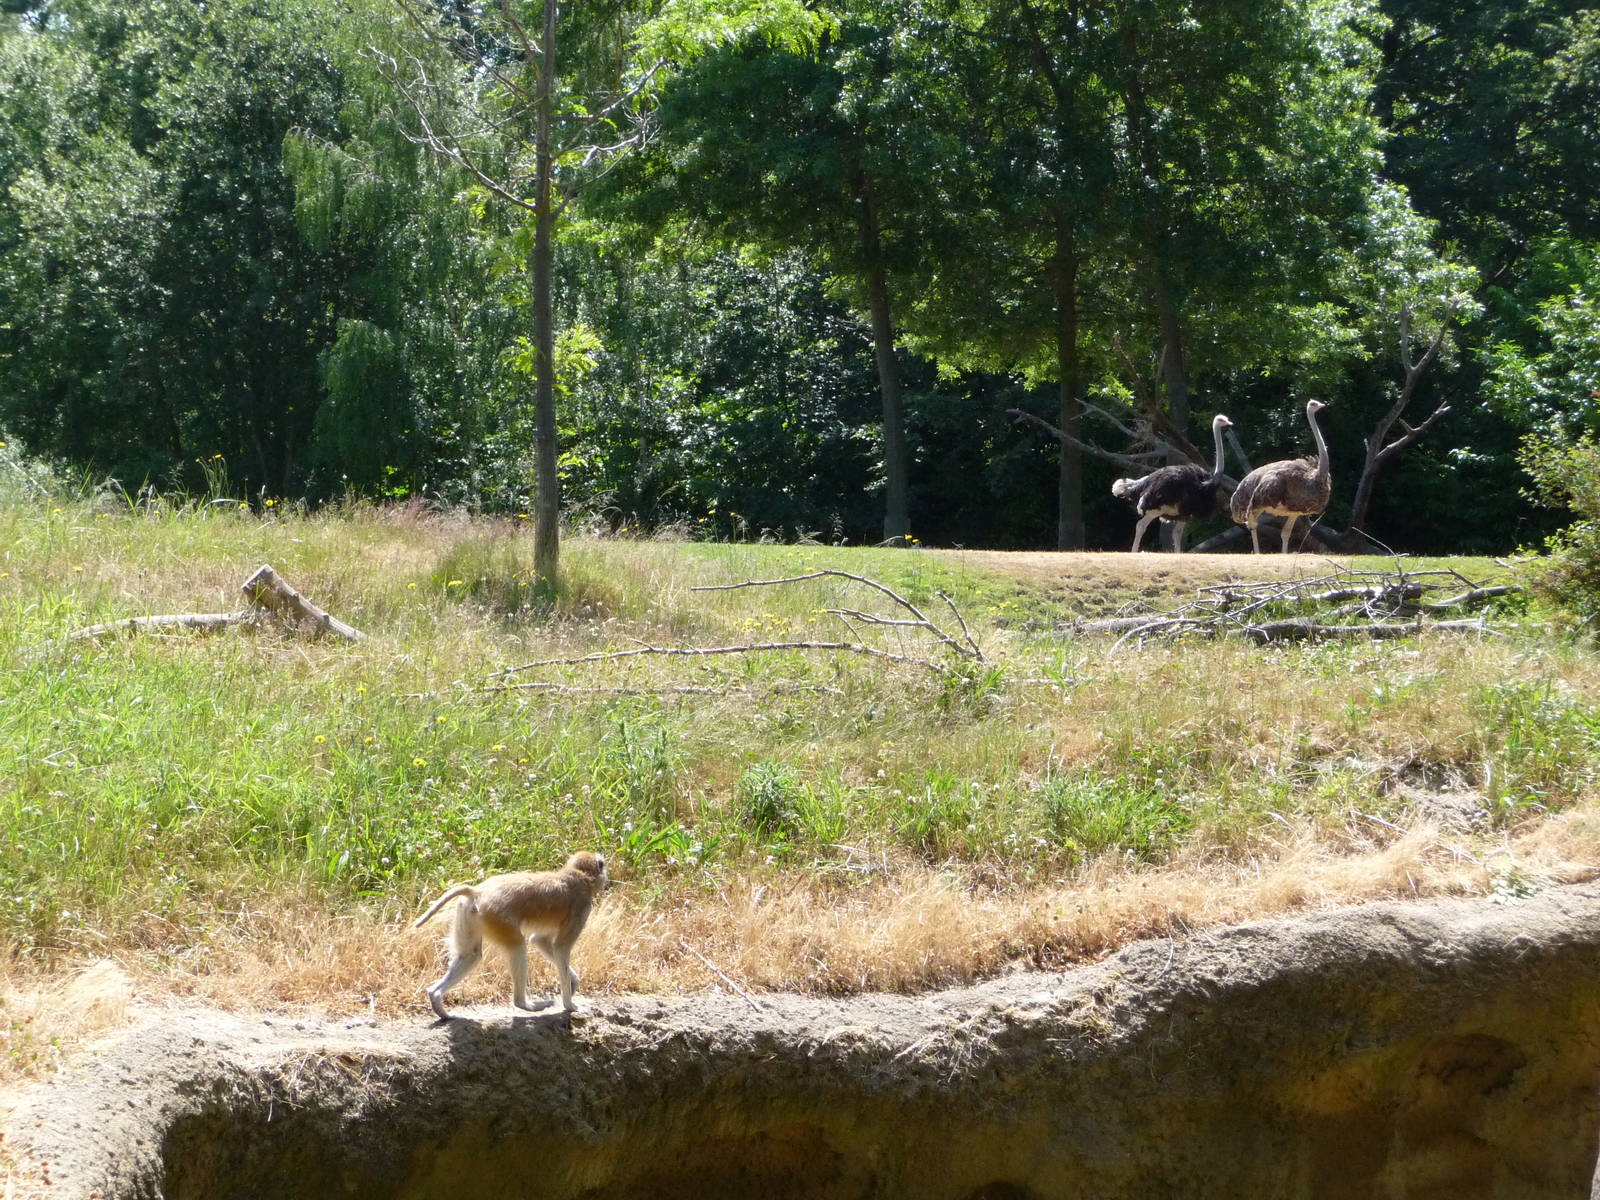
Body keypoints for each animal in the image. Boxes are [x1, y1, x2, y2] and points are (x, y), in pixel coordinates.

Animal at [414, 850, 608, 1020]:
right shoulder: (581, 906)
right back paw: (525, 1004)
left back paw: (436, 998)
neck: (579, 875)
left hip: (468, 913)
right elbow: (560, 947)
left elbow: (540, 940)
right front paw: (570, 1005)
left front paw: (573, 981)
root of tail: (478, 891)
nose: (606, 878)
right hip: (497, 918)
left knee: (470, 955)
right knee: (518, 947)